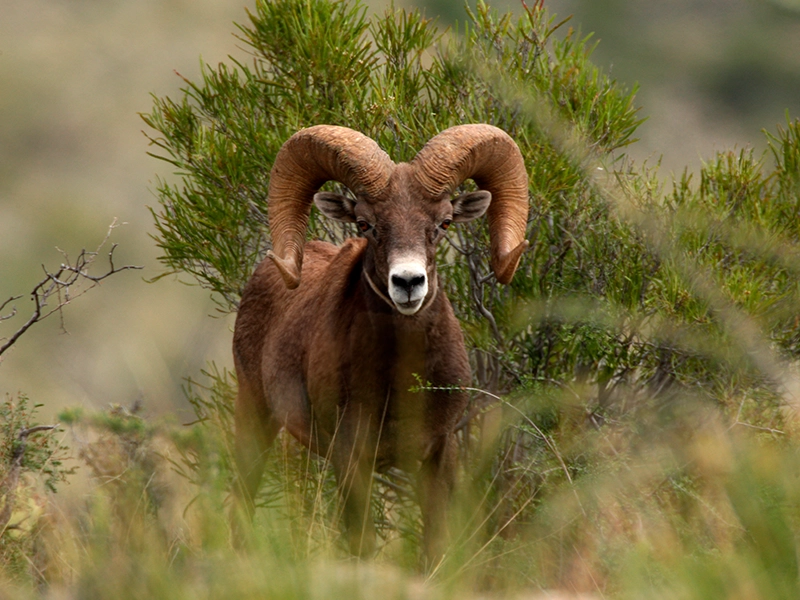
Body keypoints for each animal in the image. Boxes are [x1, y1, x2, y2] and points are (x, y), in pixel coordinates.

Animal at [234, 123, 528, 564]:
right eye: (365, 224)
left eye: (444, 223)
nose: (407, 282)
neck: (400, 380)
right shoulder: (350, 457)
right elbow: (362, 542)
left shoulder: (438, 453)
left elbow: (434, 541)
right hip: (254, 417)